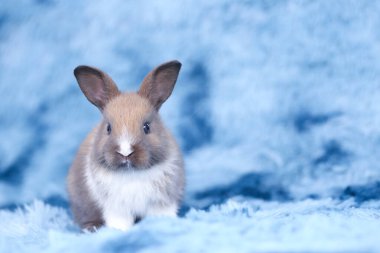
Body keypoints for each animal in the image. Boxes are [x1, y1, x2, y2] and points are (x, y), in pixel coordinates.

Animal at [67, 59, 186, 231]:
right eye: (108, 128)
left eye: (147, 127)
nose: (125, 152)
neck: (132, 173)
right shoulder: (116, 208)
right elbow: (120, 222)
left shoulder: (162, 202)